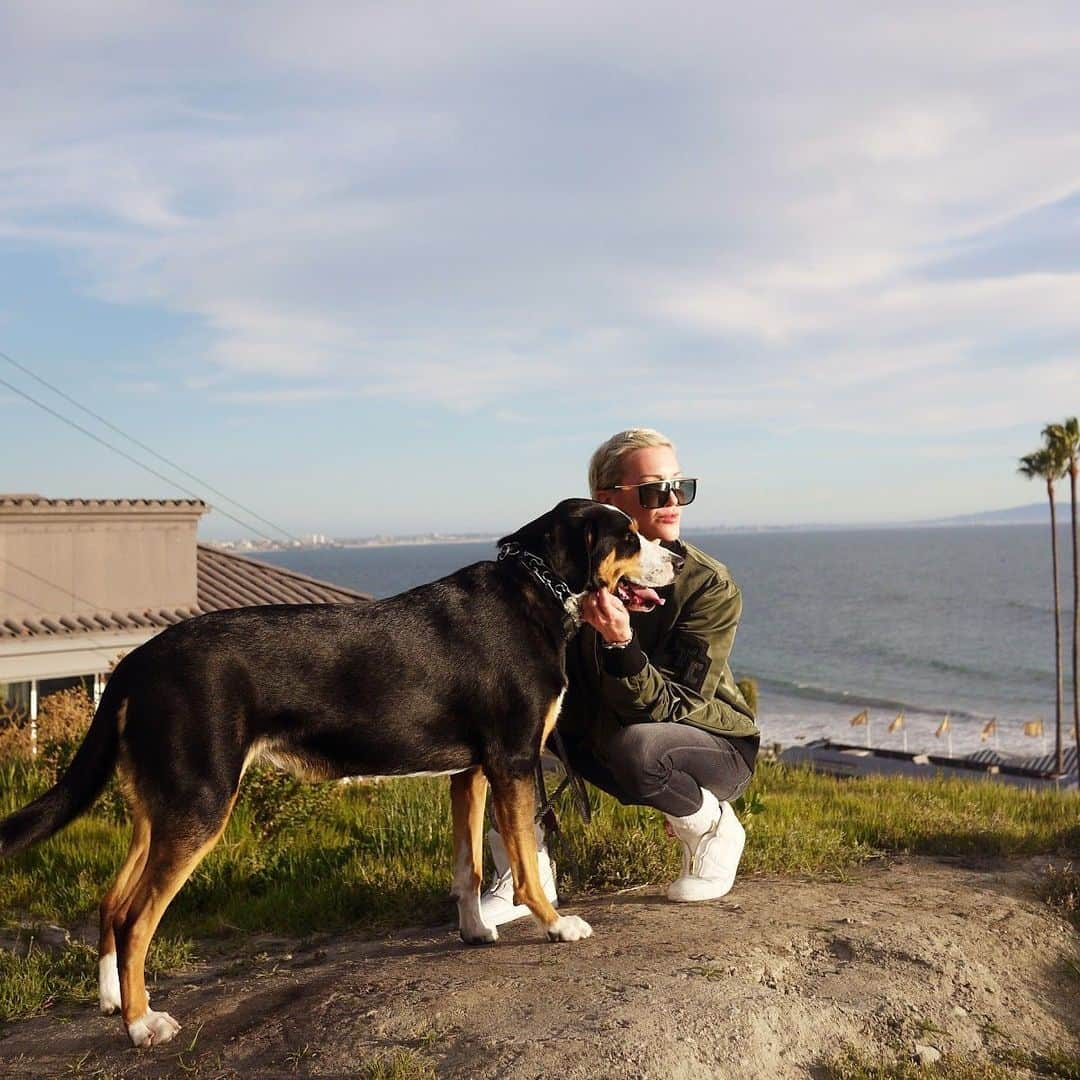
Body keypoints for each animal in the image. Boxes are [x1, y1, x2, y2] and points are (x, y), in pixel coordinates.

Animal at [0, 496, 682, 1045]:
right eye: (627, 537)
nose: (675, 555)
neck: (534, 592)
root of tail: (135, 662)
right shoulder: (512, 761)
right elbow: (523, 865)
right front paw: (555, 924)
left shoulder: (470, 773)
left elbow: (468, 866)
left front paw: (473, 931)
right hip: (200, 803)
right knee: (137, 918)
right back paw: (143, 1024)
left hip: (162, 808)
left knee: (112, 903)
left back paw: (112, 1001)